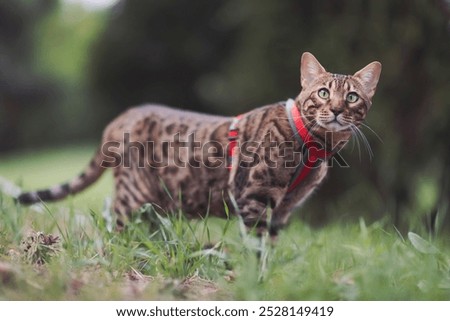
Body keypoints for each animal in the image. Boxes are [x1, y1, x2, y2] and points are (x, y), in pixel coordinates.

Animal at [18, 52, 384, 236]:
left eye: (352, 97)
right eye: (322, 93)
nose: (336, 109)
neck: (315, 146)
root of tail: (123, 115)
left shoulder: (281, 211)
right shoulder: (254, 200)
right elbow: (257, 252)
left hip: (156, 201)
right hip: (133, 194)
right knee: (114, 228)